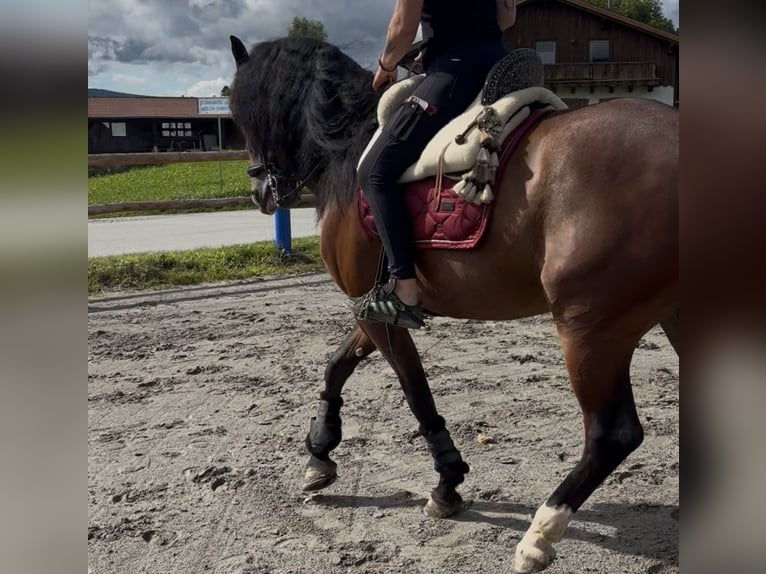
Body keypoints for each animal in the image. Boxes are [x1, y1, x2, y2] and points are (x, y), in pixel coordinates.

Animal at [228, 35, 678, 573]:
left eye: (241, 112)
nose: (259, 189)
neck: (349, 148)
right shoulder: (374, 305)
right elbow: (336, 367)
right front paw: (319, 451)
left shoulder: (380, 315)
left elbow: (415, 391)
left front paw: (447, 480)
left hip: (590, 329)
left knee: (613, 434)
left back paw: (539, 535)